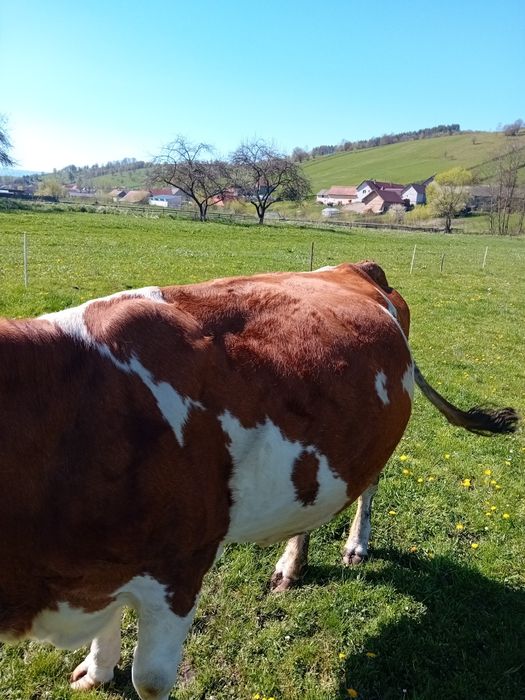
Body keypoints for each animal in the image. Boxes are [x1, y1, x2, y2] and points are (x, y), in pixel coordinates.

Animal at [0, 261, 518, 700]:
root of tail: (358, 267)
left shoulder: (179, 570)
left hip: (382, 435)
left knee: (368, 486)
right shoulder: (105, 571)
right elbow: (107, 632)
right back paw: (292, 564)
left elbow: (149, 680)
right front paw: (96, 672)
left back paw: (356, 545)